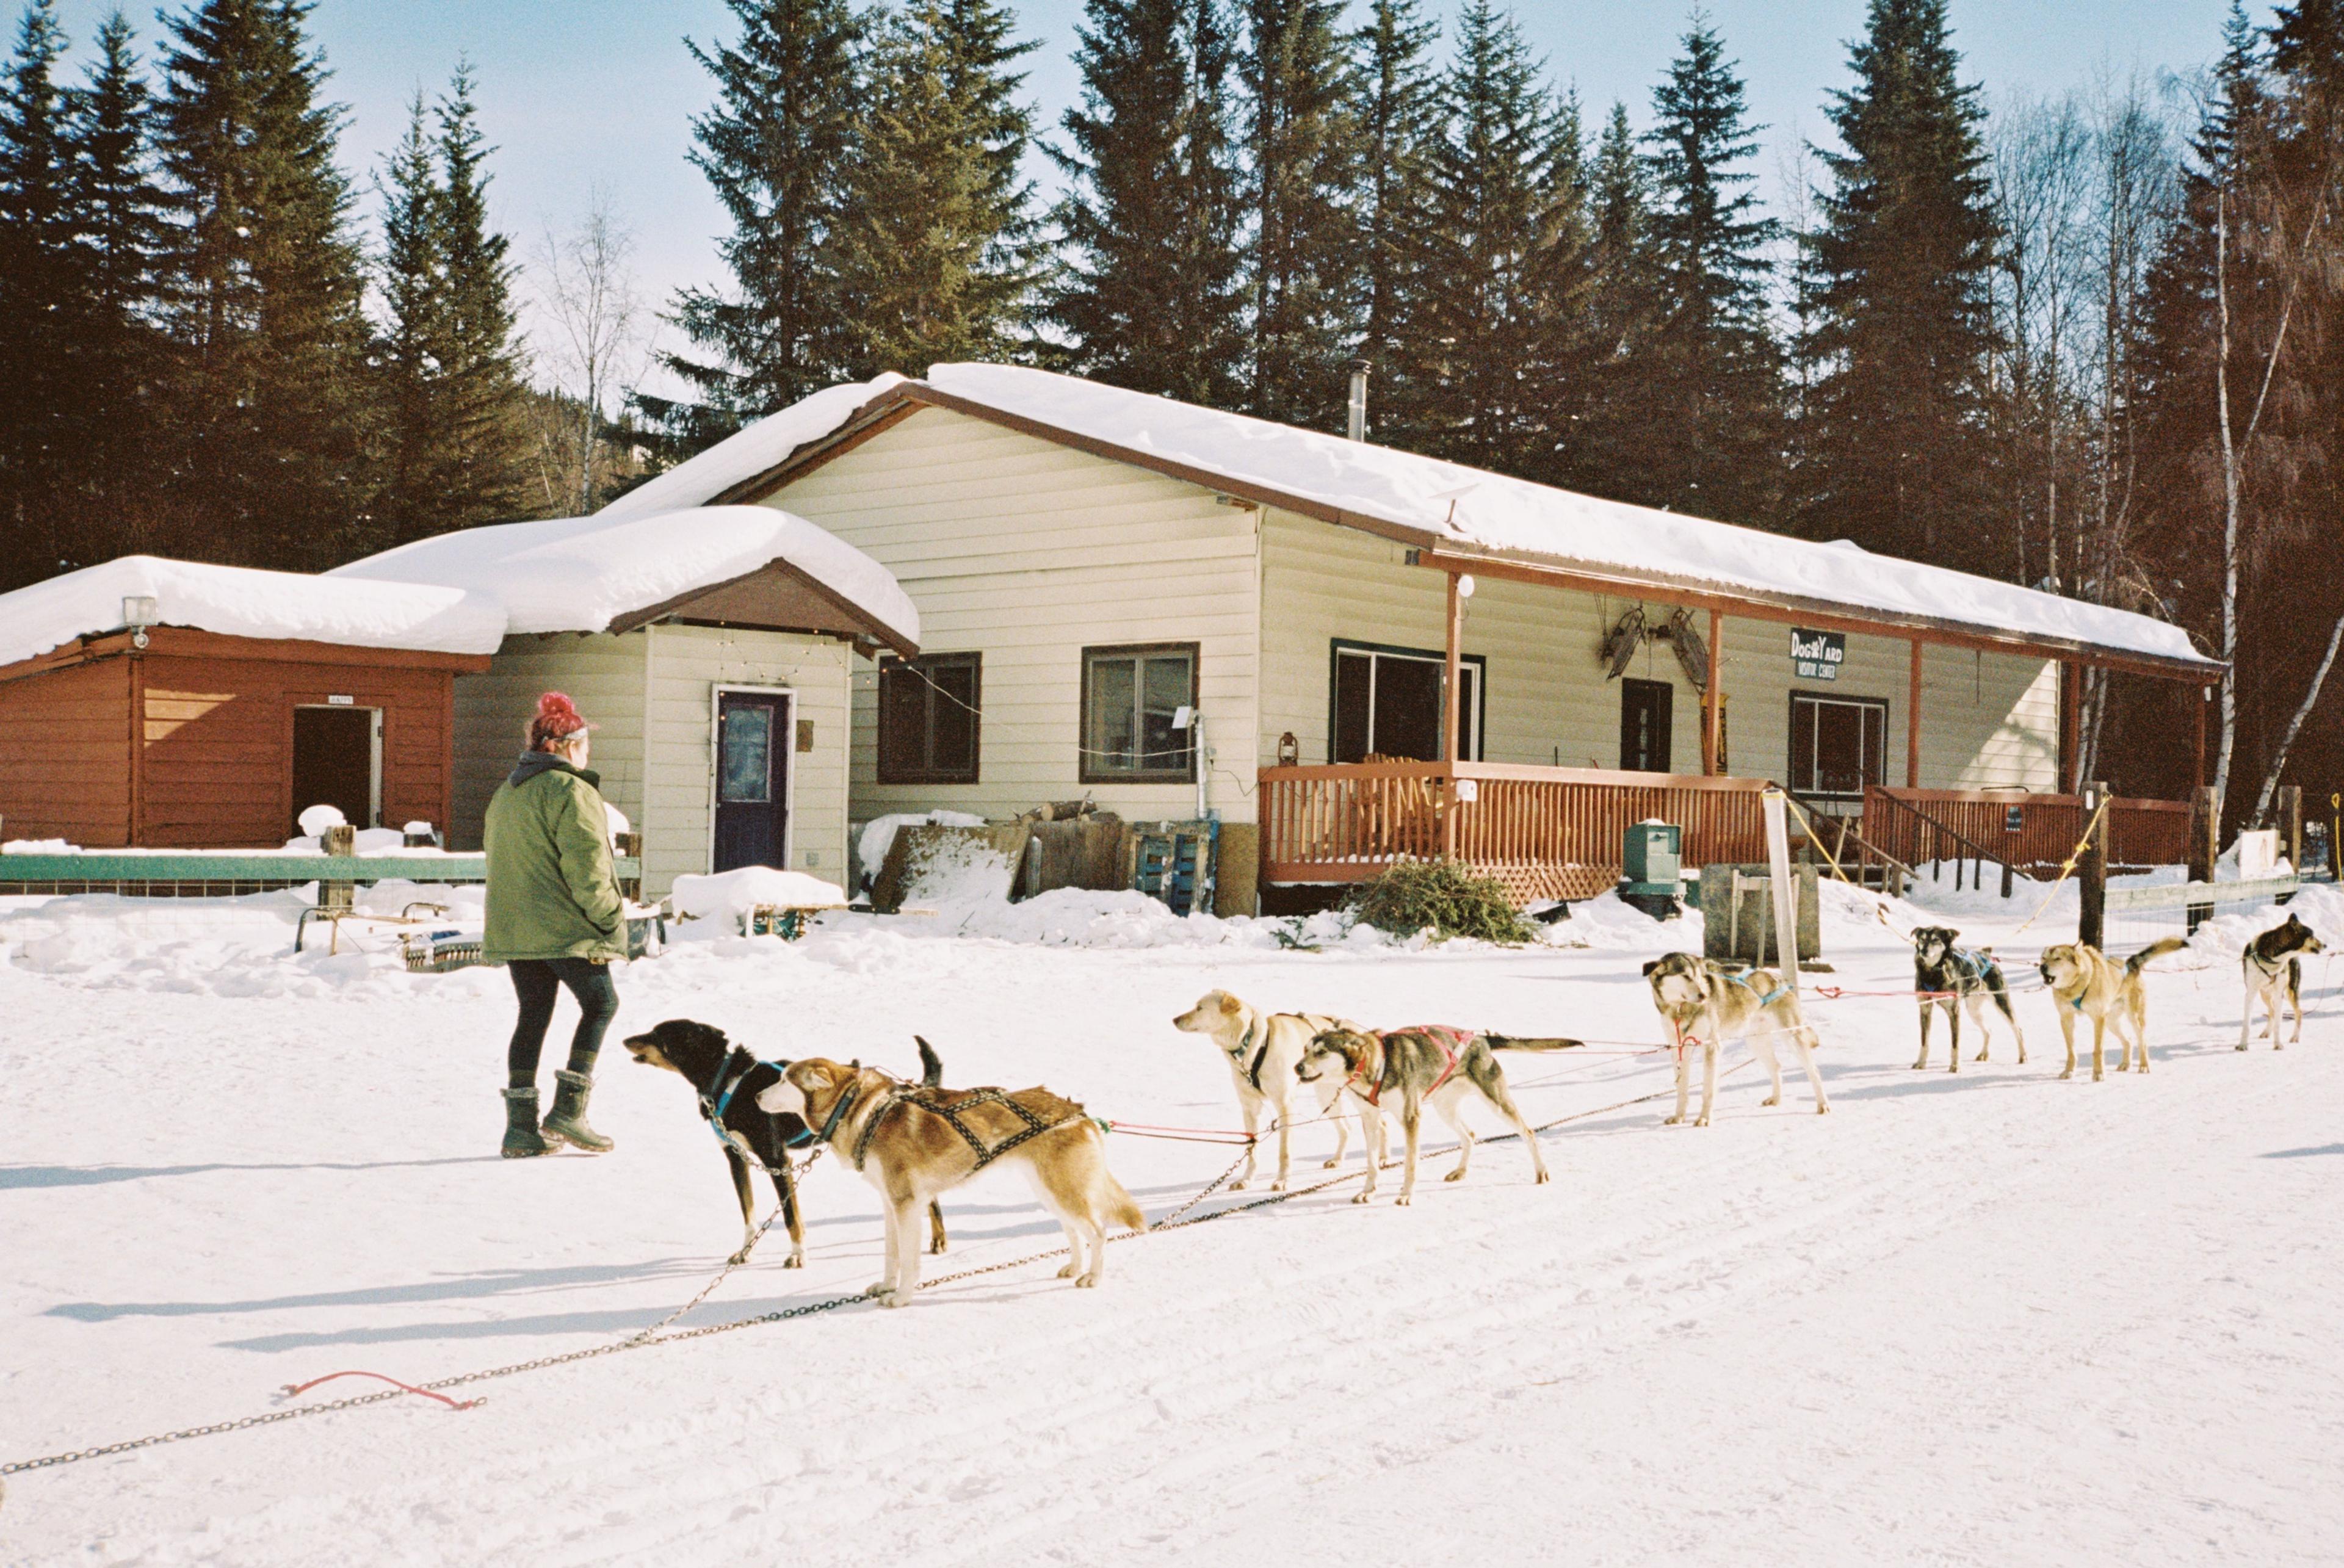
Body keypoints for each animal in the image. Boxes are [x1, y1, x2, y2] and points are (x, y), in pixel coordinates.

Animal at [759, 1059, 1143, 1303]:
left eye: (785, 1080)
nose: (756, 1096)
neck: (864, 1111)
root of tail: (1078, 1112)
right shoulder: (891, 1205)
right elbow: (891, 1256)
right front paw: (886, 1286)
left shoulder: (907, 1205)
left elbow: (909, 1260)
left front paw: (901, 1298)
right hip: (1050, 1192)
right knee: (1074, 1232)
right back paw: (1075, 1267)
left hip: (1064, 1191)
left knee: (1098, 1232)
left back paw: (1092, 1277)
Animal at [1167, 989, 1378, 1186]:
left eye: (1200, 1008)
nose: (1175, 1019)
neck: (1252, 1045)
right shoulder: (1250, 1108)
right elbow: (1252, 1149)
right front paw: (1247, 1180)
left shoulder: (1284, 1105)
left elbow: (1284, 1151)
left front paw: (1282, 1180)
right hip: (1326, 1098)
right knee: (1346, 1128)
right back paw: (1339, 1159)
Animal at [1912, 923, 2025, 1069]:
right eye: (1922, 939)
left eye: (1936, 939)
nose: (1924, 951)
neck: (1934, 973)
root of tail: (1986, 954)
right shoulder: (1925, 1009)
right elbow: (1924, 1041)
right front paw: (1921, 1063)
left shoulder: (1954, 1012)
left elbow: (1955, 1043)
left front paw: (1955, 1066)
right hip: (1973, 1011)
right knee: (1988, 1031)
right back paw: (1983, 1054)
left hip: (2002, 1003)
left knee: (2018, 1029)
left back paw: (2023, 1056)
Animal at [2035, 938, 2194, 1083]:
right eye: (2044, 958)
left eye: (2057, 958)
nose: (2042, 967)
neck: (2077, 984)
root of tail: (2130, 964)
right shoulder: (2066, 1019)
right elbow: (2071, 1051)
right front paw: (2069, 1071)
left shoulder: (2098, 1019)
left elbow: (2098, 1050)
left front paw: (2098, 1074)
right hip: (2111, 1023)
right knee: (2128, 1040)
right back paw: (2125, 1064)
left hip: (2133, 1019)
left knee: (2142, 1042)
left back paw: (2143, 1066)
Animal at [2231, 905, 2325, 1050]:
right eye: (2312, 935)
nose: (2325, 945)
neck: (2271, 958)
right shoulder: (2251, 993)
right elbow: (2247, 1024)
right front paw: (2242, 1045)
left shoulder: (2278, 993)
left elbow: (2278, 1024)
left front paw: (2278, 1045)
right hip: (2264, 994)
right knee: (2272, 1012)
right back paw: (2266, 1032)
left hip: (2290, 992)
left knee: (2298, 1013)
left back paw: (2295, 1037)